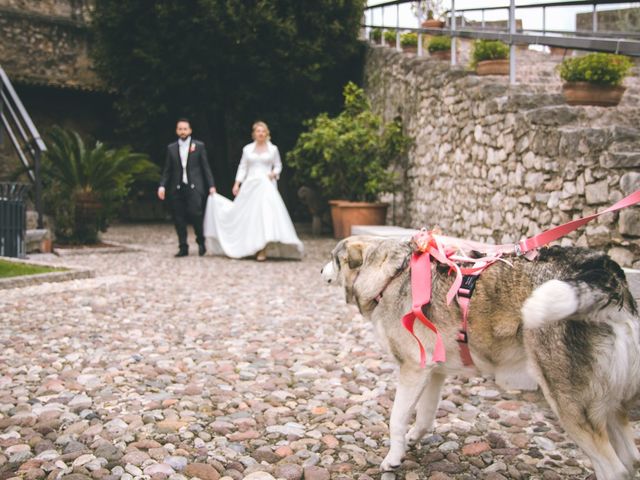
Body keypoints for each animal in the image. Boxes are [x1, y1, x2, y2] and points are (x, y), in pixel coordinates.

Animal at [322, 236, 640, 480]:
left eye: (333, 258)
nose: (321, 270)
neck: (392, 274)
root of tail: (607, 272)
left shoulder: (413, 369)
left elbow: (396, 418)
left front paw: (393, 458)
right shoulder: (434, 372)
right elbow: (425, 415)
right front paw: (414, 438)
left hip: (570, 404)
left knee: (614, 469)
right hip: (608, 404)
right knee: (631, 459)